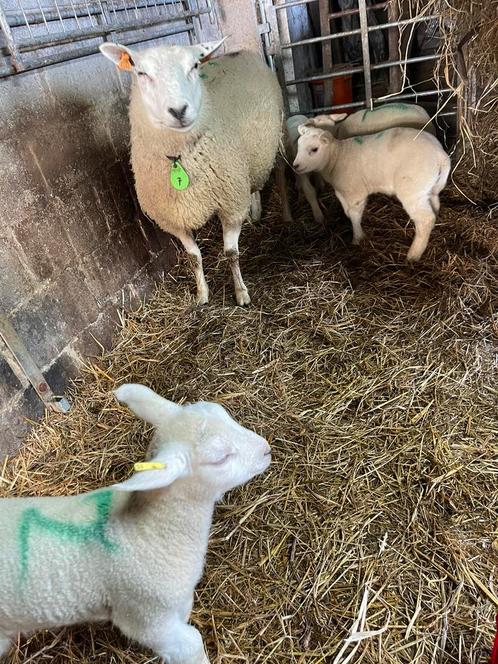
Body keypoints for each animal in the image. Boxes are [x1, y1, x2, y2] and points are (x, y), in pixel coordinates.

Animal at [100, 42, 284, 308]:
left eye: (194, 65)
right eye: (141, 73)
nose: (179, 110)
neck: (179, 161)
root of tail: (239, 51)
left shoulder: (230, 203)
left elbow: (231, 253)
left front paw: (241, 293)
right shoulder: (173, 219)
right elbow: (193, 257)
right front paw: (202, 294)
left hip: (263, 151)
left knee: (256, 185)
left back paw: (256, 212)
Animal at [294, 123, 450, 260]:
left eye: (314, 149)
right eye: (298, 146)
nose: (295, 166)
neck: (336, 158)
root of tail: (441, 155)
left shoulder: (355, 192)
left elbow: (354, 215)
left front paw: (357, 238)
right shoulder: (342, 191)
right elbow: (347, 212)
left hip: (412, 189)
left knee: (425, 219)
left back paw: (413, 255)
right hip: (429, 188)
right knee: (435, 206)